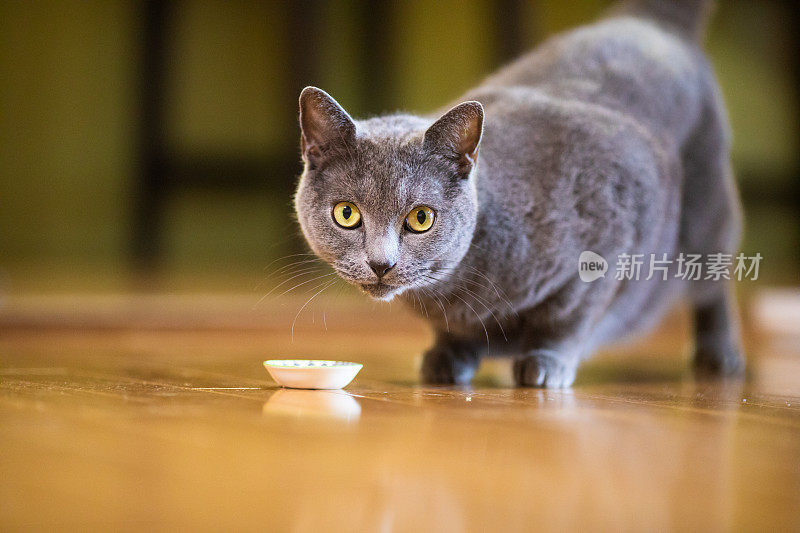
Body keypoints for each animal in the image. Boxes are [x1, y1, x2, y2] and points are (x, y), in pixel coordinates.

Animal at [292, 0, 744, 384]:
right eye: (347, 213)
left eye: (420, 218)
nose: (381, 263)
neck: (455, 288)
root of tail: (649, 21)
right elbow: (453, 332)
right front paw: (447, 356)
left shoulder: (610, 241)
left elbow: (568, 320)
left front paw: (546, 362)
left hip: (705, 219)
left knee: (712, 285)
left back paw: (719, 355)